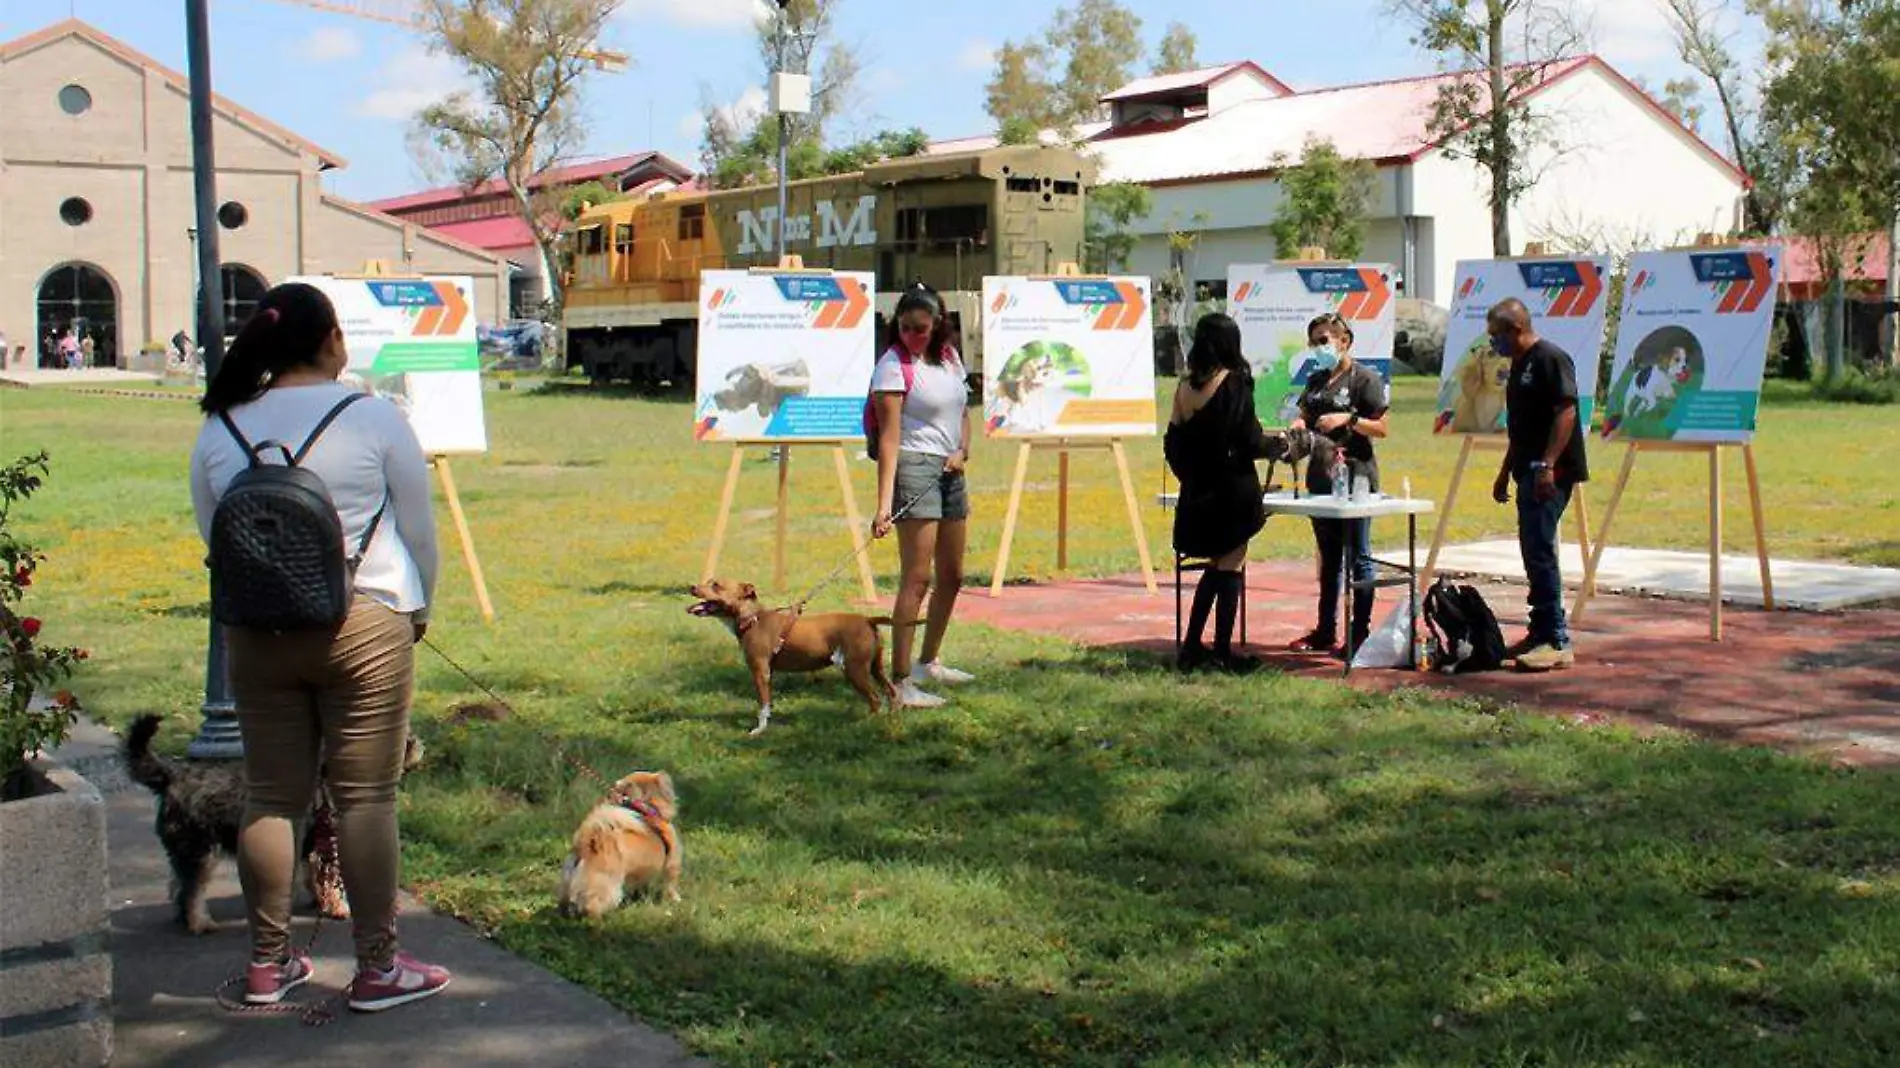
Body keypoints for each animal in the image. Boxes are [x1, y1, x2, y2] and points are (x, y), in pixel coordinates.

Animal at [126, 714, 423, 931]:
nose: (417, 743)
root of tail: (172, 774)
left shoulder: (312, 848)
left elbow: (314, 880)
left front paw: (320, 902)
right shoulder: (330, 847)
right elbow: (332, 883)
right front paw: (340, 908)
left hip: (185, 850)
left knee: (178, 885)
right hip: (200, 850)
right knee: (191, 891)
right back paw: (199, 923)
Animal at [554, 763, 684, 915]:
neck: (646, 808)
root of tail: (586, 841)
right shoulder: (672, 864)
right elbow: (671, 885)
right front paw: (675, 899)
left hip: (567, 882)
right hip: (606, 885)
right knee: (593, 904)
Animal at [691, 573, 912, 729]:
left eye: (716, 585)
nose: (691, 587)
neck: (752, 619)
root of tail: (868, 619)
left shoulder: (760, 672)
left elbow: (763, 704)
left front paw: (759, 730)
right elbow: (768, 702)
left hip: (855, 669)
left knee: (875, 699)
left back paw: (865, 724)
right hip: (875, 667)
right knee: (891, 691)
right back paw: (892, 719)